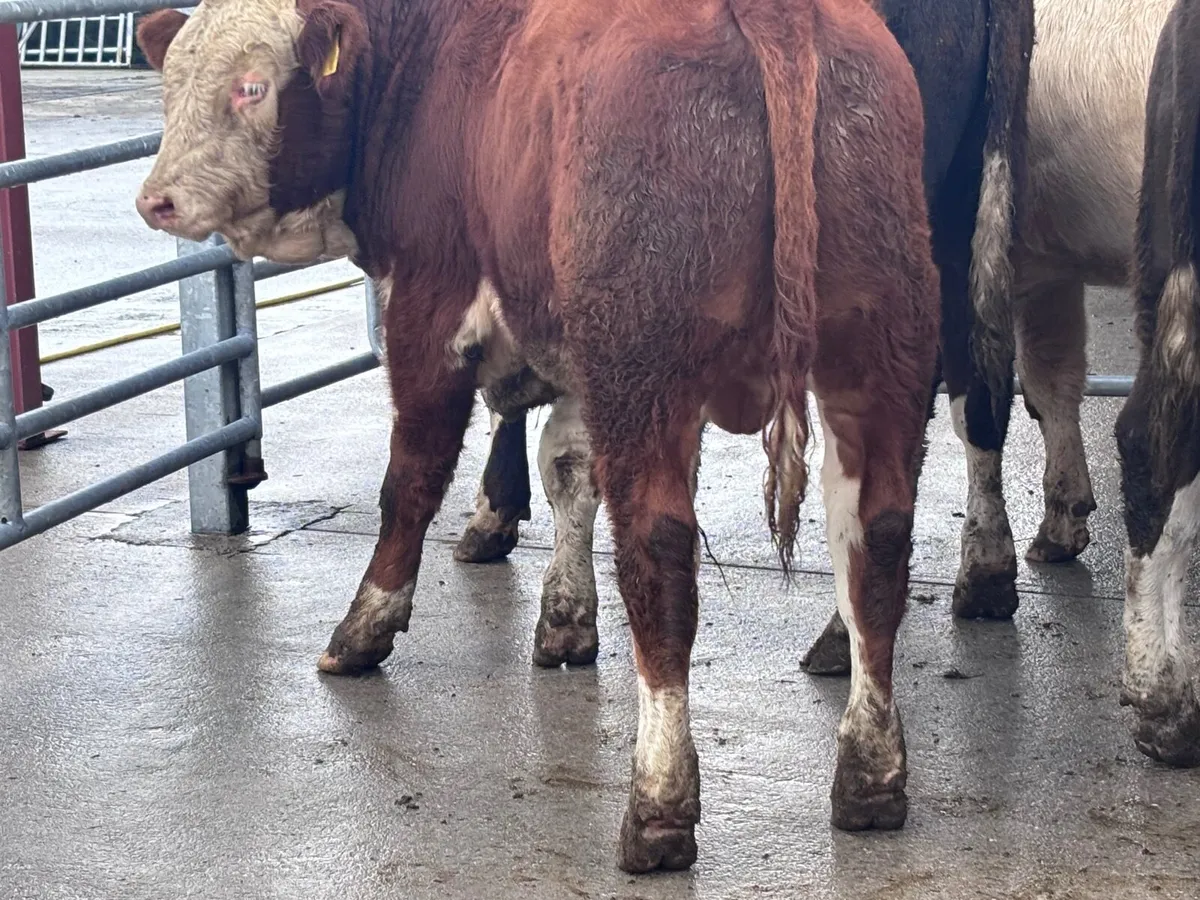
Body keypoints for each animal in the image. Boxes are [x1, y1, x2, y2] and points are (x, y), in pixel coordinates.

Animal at [134, 0, 941, 871]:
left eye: (251, 86)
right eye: (172, 78)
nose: (156, 201)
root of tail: (774, 15)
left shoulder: (432, 309)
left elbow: (412, 481)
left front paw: (364, 626)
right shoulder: (578, 359)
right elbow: (569, 471)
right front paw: (565, 618)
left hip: (644, 362)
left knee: (660, 552)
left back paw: (658, 804)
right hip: (878, 348)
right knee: (875, 535)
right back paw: (870, 774)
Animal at [451, 0, 1039, 676]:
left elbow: (571, 454)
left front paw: (562, 608)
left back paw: (841, 634)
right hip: (968, 200)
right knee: (980, 388)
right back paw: (986, 574)